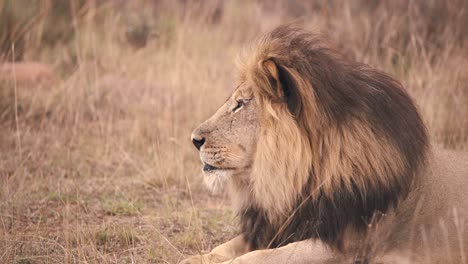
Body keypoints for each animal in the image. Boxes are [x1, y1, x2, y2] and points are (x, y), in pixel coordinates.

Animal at [181, 25, 468, 264]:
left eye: (240, 104)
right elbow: (225, 247)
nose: (194, 140)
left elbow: (259, 257)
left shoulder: (343, 247)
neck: (298, 179)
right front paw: (194, 259)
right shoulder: (281, 225)